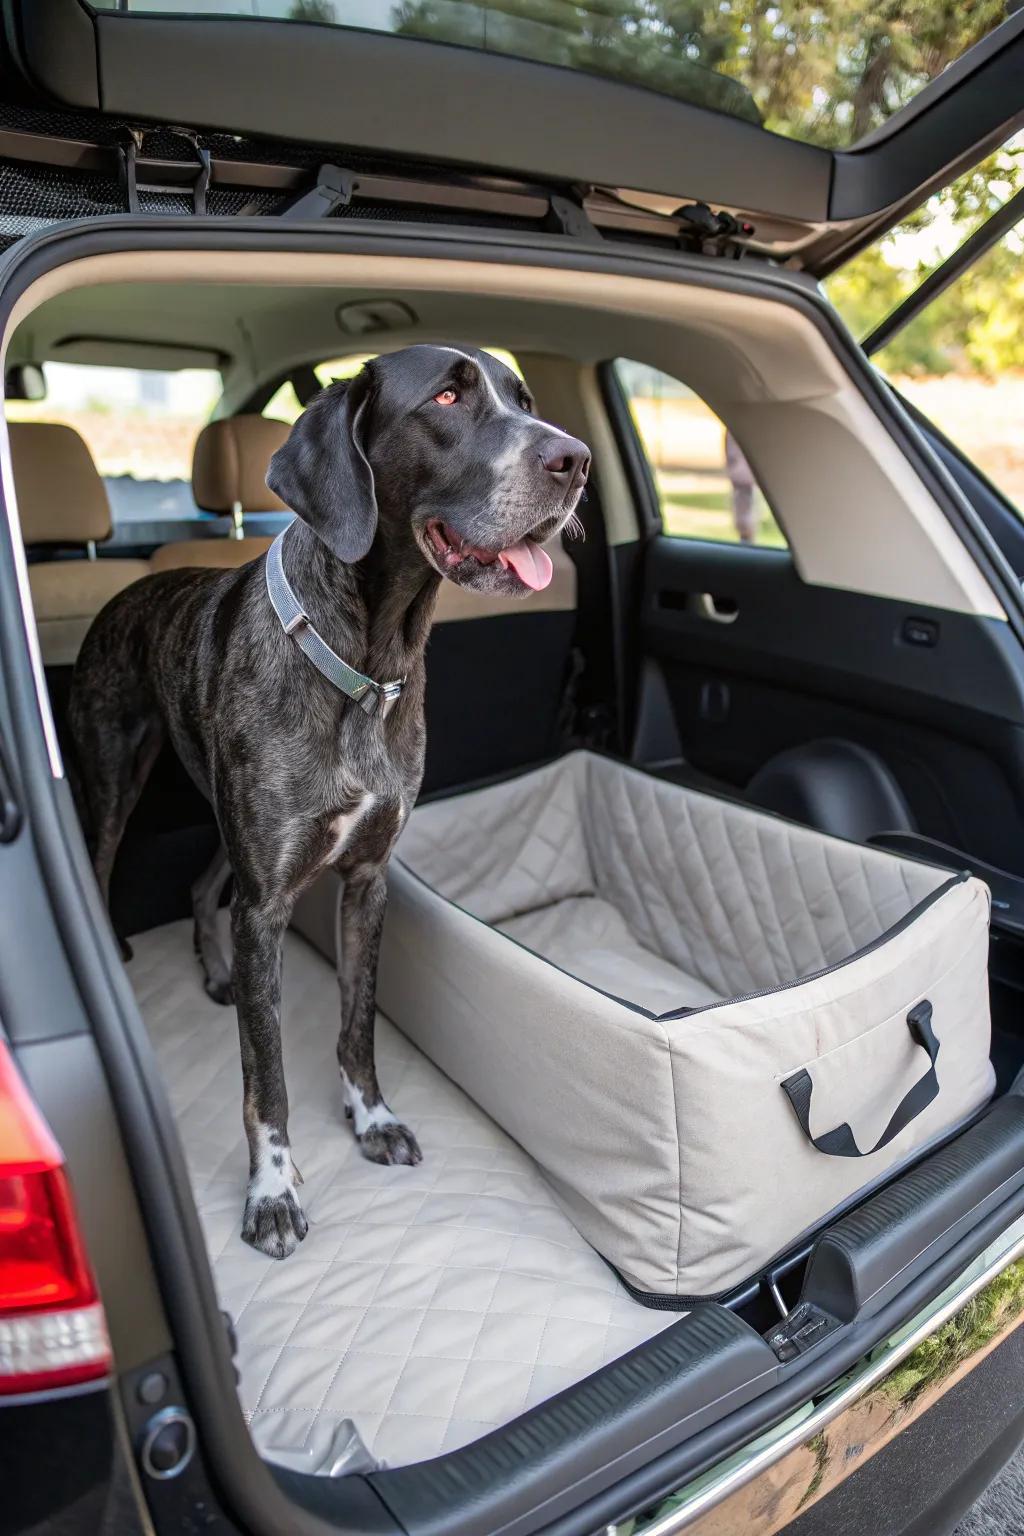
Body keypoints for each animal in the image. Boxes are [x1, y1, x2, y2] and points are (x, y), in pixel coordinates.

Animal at [67, 348, 589, 1259]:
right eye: (447, 397)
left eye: (526, 399)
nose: (577, 460)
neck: (367, 661)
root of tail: (127, 591)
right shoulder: (268, 901)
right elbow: (264, 1075)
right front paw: (272, 1191)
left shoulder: (365, 880)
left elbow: (358, 1021)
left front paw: (370, 1117)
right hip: (115, 780)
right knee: (105, 871)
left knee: (203, 888)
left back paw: (216, 972)